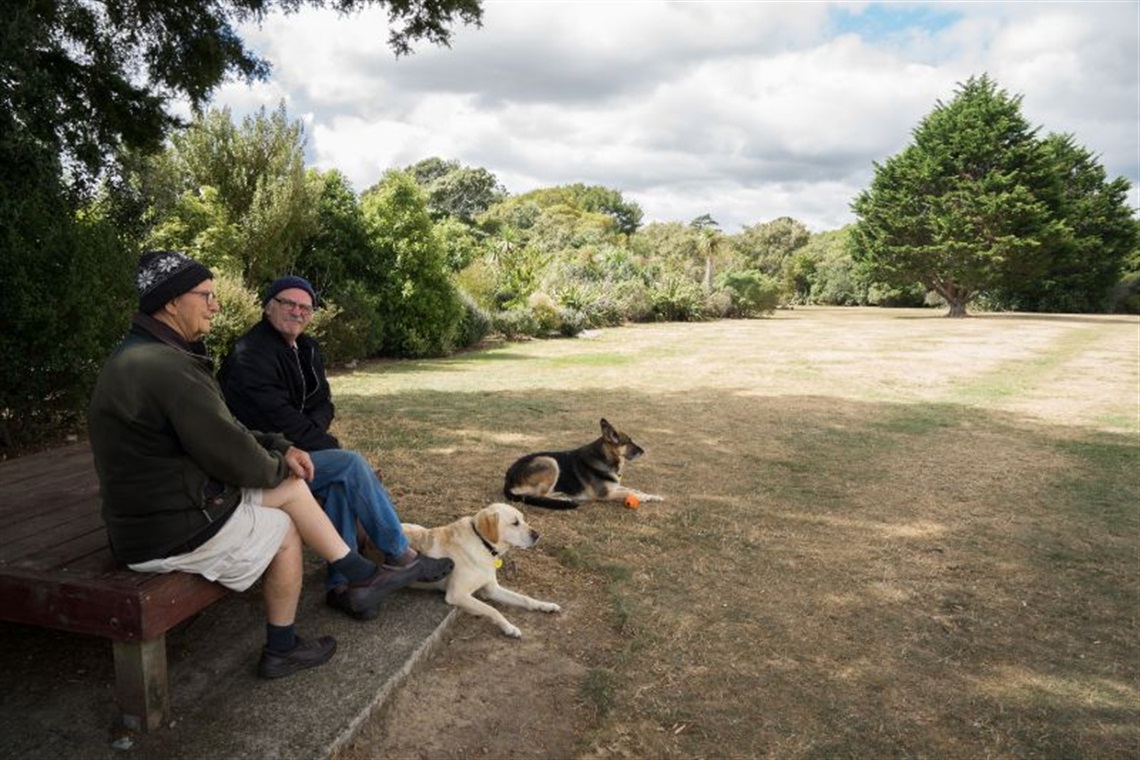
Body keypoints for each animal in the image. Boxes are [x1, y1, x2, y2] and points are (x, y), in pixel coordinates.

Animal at [503, 417, 665, 510]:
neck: (605, 458)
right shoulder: (605, 494)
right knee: (538, 495)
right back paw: (562, 498)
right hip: (550, 461)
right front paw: (644, 498)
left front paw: (653, 496)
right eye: (628, 442)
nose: (643, 451)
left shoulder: (614, 487)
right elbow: (628, 492)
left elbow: (633, 489)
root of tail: (508, 479)